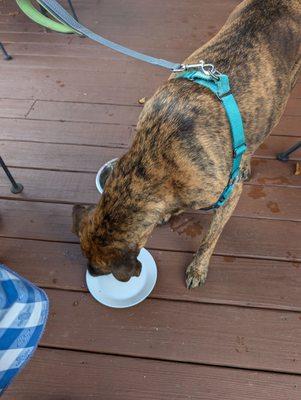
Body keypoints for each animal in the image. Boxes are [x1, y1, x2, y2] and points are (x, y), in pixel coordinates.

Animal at [72, 0, 300, 288]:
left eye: (99, 269)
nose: (89, 273)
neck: (151, 160)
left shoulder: (229, 195)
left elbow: (210, 238)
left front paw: (198, 267)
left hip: (280, 98)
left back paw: (245, 162)